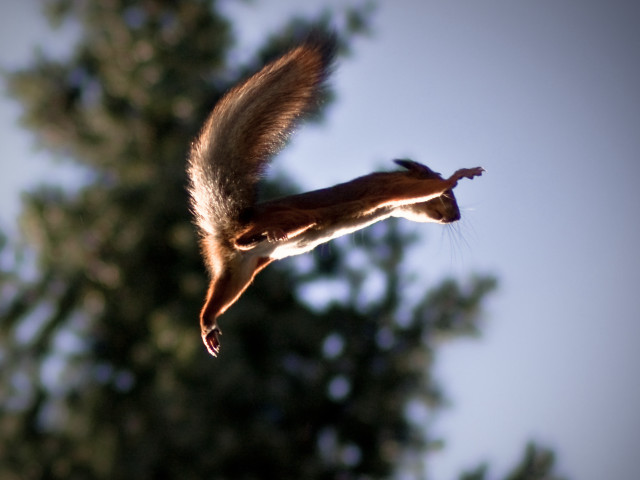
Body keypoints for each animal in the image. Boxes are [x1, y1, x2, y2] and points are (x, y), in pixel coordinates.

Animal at [187, 34, 484, 357]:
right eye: (448, 198)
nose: (456, 216)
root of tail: (229, 226)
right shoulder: (391, 188)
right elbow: (421, 189)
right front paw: (460, 175)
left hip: (240, 272)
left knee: (218, 294)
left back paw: (207, 325)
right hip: (292, 219)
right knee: (263, 232)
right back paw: (261, 236)